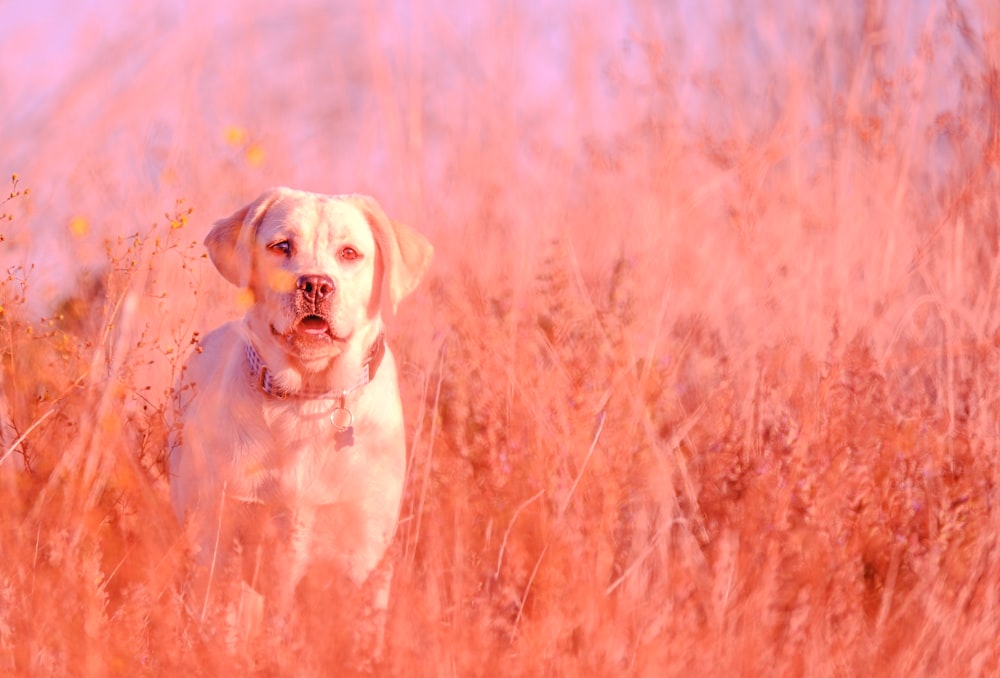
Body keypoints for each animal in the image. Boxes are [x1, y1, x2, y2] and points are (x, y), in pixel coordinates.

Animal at [169, 187, 434, 644]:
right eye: (281, 247)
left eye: (349, 253)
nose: (315, 284)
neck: (307, 397)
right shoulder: (219, 542)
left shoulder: (361, 556)